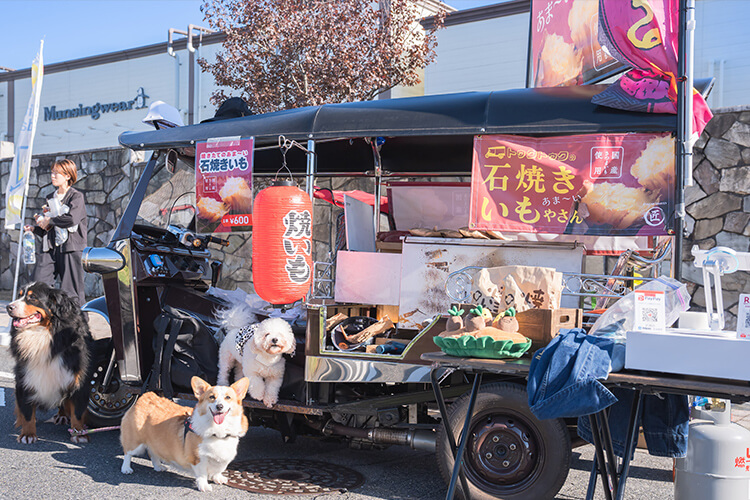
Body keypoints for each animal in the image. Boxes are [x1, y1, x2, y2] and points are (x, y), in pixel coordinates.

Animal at [7, 284, 94, 444]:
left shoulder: (78, 377)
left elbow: (78, 411)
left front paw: (79, 433)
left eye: (32, 297)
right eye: (20, 294)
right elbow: (27, 411)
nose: (9, 307)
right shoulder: (25, 376)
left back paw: (62, 415)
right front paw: (28, 434)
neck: (42, 333)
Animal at [120, 376, 250, 490]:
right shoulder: (198, 458)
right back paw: (126, 468)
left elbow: (219, 469)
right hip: (135, 442)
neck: (218, 432)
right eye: (212, 397)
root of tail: (145, 396)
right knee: (128, 453)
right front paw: (204, 486)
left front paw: (218, 478)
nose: (219, 406)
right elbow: (202, 474)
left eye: (228, 397)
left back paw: (158, 466)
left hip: (156, 442)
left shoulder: (224, 457)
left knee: (153, 453)